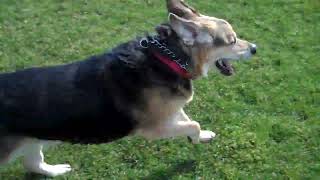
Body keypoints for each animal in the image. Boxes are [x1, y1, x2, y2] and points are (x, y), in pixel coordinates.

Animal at [0, 0, 255, 176]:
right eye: (232, 40)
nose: (255, 48)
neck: (168, 58)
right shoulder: (154, 128)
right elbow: (193, 123)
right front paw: (195, 136)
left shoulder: (172, 109)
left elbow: (187, 118)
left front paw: (202, 137)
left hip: (34, 140)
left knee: (33, 163)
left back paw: (56, 170)